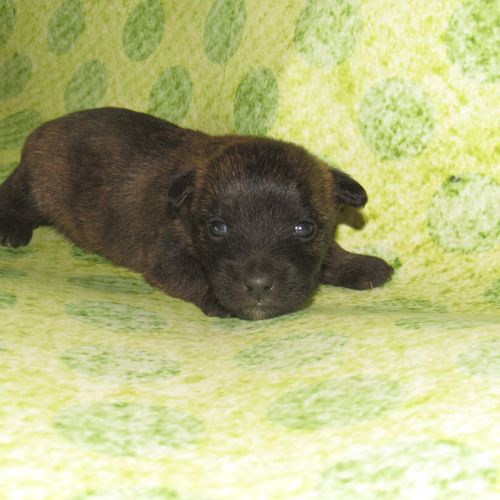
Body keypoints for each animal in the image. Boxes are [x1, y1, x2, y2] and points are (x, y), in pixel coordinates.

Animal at [0, 107, 393, 320]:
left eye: (304, 228)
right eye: (218, 228)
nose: (258, 286)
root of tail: (47, 126)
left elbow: (331, 252)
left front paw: (358, 265)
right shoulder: (167, 258)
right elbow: (195, 277)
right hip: (38, 184)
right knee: (15, 195)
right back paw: (12, 228)